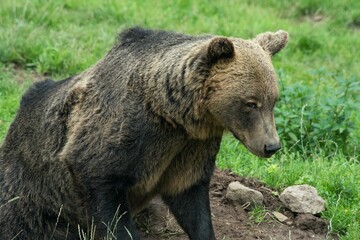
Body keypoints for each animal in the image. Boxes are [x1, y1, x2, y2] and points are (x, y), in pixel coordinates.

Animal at [0, 27, 286, 239]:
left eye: (273, 100)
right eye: (251, 103)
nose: (271, 146)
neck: (173, 114)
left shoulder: (190, 146)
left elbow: (190, 197)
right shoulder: (126, 132)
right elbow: (100, 182)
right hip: (29, 194)